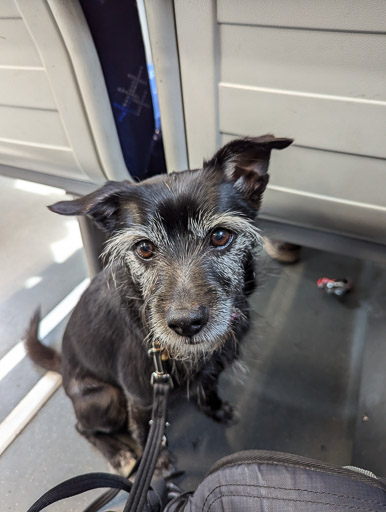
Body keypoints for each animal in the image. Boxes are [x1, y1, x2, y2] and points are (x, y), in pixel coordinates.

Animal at [26, 134, 292, 474]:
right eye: (144, 248)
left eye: (220, 236)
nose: (186, 324)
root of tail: (63, 365)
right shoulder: (140, 396)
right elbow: (146, 429)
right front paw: (160, 462)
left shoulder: (215, 366)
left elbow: (209, 388)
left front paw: (215, 409)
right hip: (106, 398)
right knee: (83, 427)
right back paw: (119, 453)